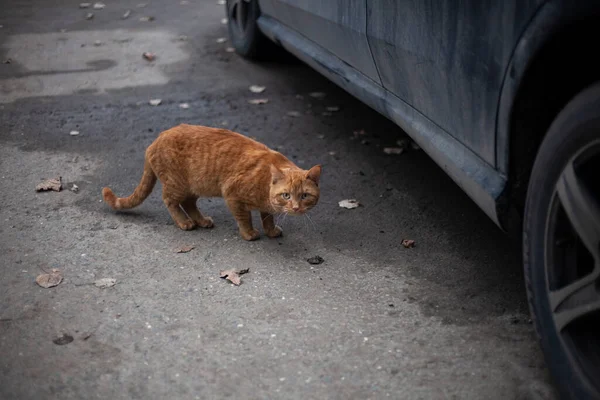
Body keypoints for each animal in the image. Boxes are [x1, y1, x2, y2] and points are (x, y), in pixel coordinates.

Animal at [101, 123, 322, 239]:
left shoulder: (264, 205)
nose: (295, 208)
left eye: (304, 195)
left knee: (188, 203)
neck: (265, 183)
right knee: (170, 201)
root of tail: (155, 140)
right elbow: (245, 217)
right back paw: (184, 222)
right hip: (178, 184)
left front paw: (271, 230)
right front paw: (249, 233)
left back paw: (200, 220)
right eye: (286, 195)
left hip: (194, 186)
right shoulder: (232, 194)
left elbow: (267, 217)